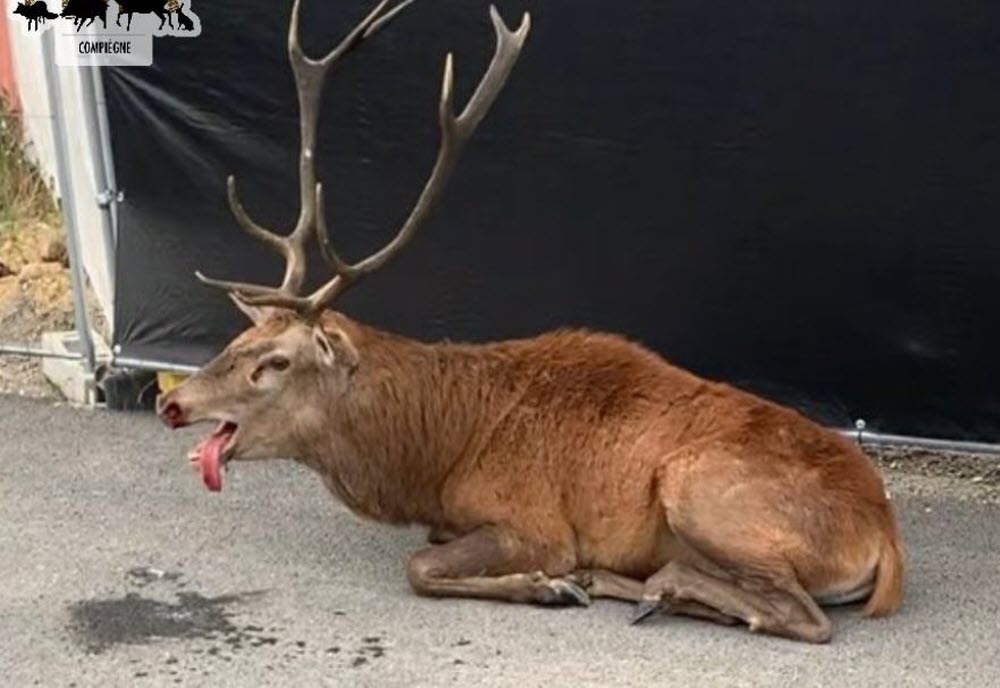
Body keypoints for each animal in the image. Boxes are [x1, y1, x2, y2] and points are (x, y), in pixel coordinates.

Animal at [156, 0, 904, 643]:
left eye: (276, 361)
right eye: (236, 340)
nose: (173, 403)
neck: (433, 455)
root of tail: (885, 537)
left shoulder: (534, 519)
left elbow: (421, 567)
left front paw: (547, 584)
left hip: (701, 489)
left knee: (802, 615)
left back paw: (652, 583)